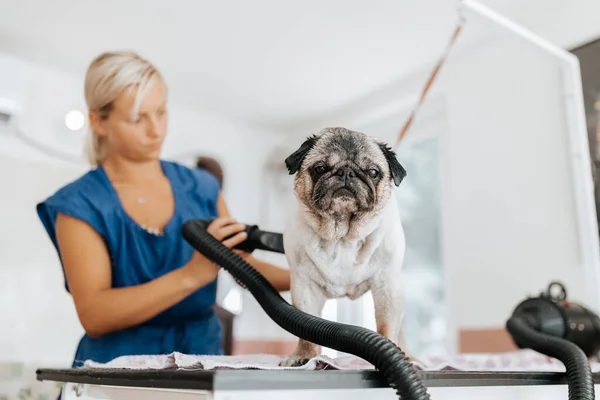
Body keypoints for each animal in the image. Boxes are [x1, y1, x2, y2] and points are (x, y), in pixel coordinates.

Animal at [280, 126, 408, 368]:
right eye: (320, 169)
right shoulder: (304, 285)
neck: (343, 236)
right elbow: (305, 330)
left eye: (373, 172)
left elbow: (387, 326)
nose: (346, 173)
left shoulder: (387, 285)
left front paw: (390, 353)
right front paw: (304, 355)